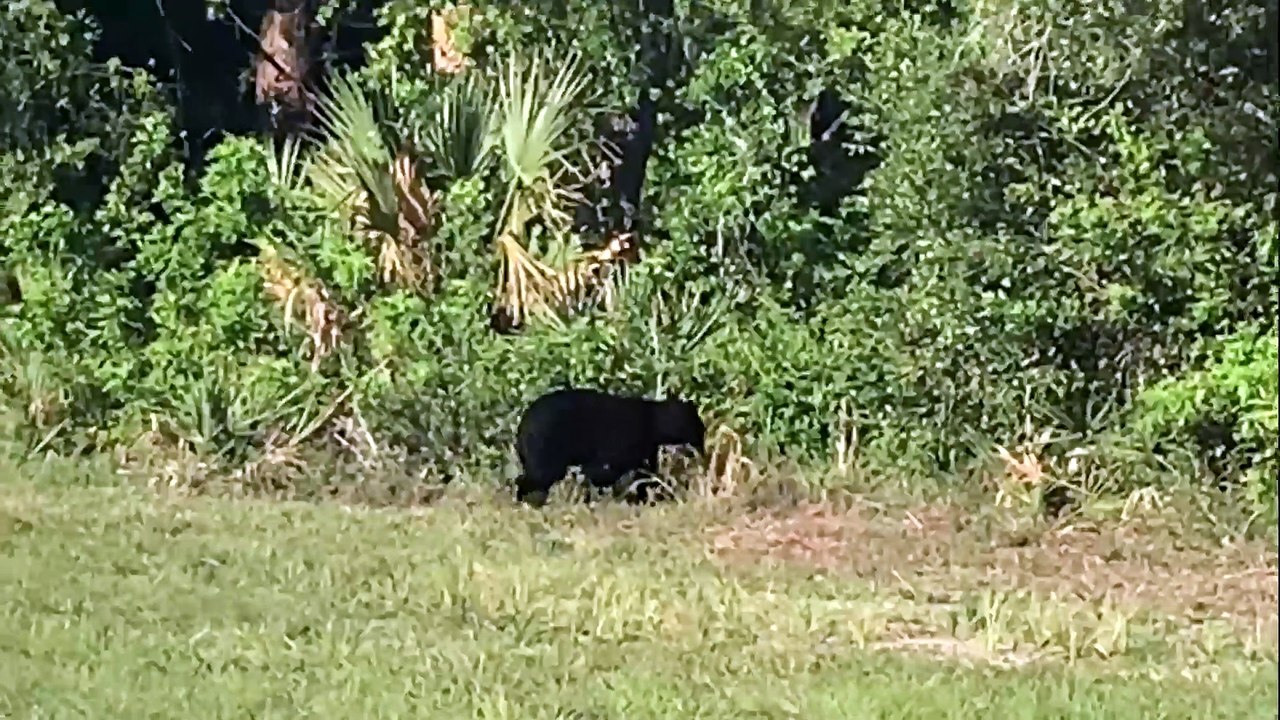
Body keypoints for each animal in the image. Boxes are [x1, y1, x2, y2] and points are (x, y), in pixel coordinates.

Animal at [512, 387, 706, 506]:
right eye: (698, 427)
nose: (703, 449)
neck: (654, 424)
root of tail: (523, 424)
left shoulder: (645, 448)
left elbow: (644, 473)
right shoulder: (624, 441)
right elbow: (604, 472)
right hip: (546, 447)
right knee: (538, 475)